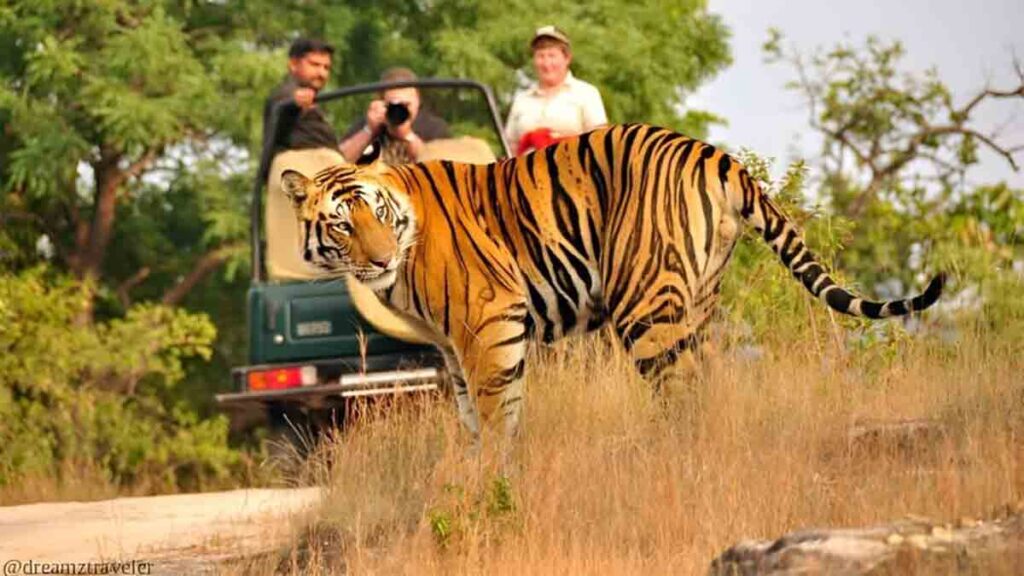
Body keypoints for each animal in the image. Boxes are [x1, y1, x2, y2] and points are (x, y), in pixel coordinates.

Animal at [278, 123, 942, 440]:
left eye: (377, 214)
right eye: (342, 224)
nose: (381, 258)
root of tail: (715, 154)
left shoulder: (489, 323)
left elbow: (496, 416)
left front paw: (493, 484)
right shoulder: (453, 346)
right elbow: (474, 416)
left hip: (645, 305)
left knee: (681, 392)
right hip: (698, 301)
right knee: (708, 383)